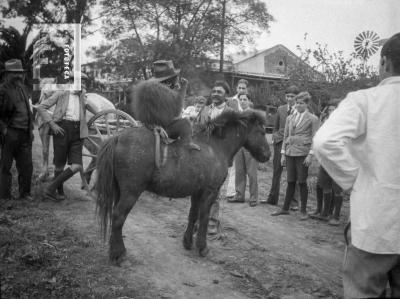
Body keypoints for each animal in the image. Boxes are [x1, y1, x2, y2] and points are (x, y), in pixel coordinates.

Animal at [95, 109, 270, 264]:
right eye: (262, 132)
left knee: (115, 217)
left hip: (120, 191)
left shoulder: (197, 193)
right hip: (131, 193)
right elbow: (204, 218)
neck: (214, 146)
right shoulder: (209, 192)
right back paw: (119, 255)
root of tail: (117, 137)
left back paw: (115, 252)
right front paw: (202, 247)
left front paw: (187, 242)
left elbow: (193, 215)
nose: (267, 155)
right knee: (118, 217)